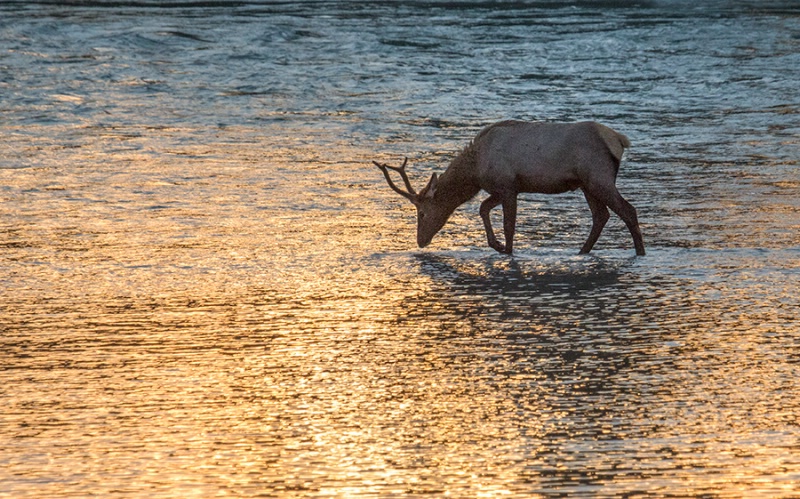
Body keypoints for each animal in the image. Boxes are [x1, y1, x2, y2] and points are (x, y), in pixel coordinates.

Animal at [374, 119, 644, 256]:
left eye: (421, 213)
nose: (420, 241)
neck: (476, 169)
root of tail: (620, 140)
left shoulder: (507, 186)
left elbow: (509, 225)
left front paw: (507, 250)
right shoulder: (501, 189)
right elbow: (483, 209)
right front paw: (497, 245)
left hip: (598, 177)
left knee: (628, 210)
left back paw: (639, 252)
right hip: (587, 184)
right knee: (601, 216)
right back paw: (581, 251)